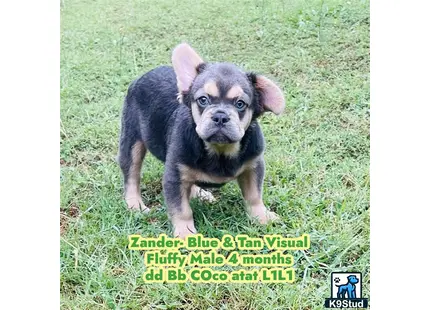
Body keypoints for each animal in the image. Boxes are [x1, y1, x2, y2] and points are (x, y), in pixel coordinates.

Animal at [117, 43, 286, 237]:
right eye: (203, 100)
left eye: (240, 104)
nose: (220, 116)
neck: (220, 151)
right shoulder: (174, 176)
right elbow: (181, 209)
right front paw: (185, 234)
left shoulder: (254, 166)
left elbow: (254, 195)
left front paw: (262, 216)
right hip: (132, 140)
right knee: (132, 173)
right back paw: (134, 204)